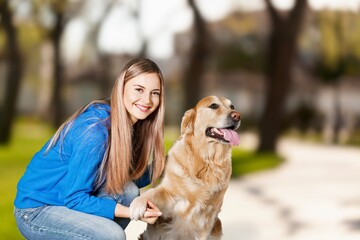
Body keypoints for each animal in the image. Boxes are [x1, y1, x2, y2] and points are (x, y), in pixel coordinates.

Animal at [130, 96, 242, 240]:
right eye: (213, 106)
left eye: (232, 107)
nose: (237, 115)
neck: (206, 160)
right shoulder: (170, 195)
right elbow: (152, 192)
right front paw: (137, 204)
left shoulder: (209, 214)